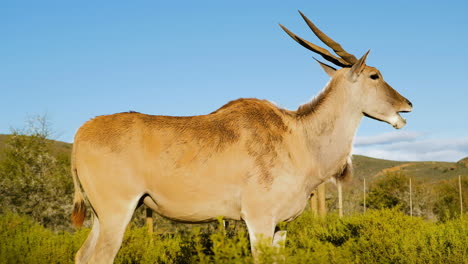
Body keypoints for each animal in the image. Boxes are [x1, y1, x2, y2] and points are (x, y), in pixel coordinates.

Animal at [70, 11, 414, 262]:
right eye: (375, 75)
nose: (407, 104)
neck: (298, 138)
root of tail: (81, 134)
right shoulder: (258, 220)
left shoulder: (280, 227)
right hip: (116, 213)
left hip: (101, 216)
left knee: (82, 255)